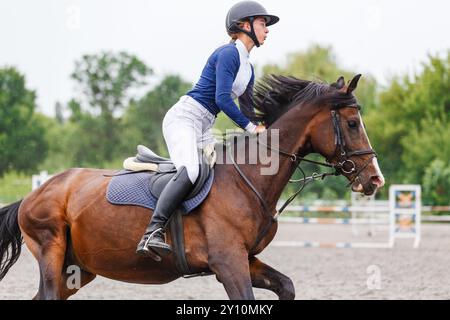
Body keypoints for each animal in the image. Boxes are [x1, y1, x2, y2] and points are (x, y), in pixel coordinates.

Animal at [0, 74, 384, 298]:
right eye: (352, 123)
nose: (375, 180)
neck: (248, 181)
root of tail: (32, 195)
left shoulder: (245, 259)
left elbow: (286, 286)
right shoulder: (228, 264)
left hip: (77, 270)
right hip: (52, 252)